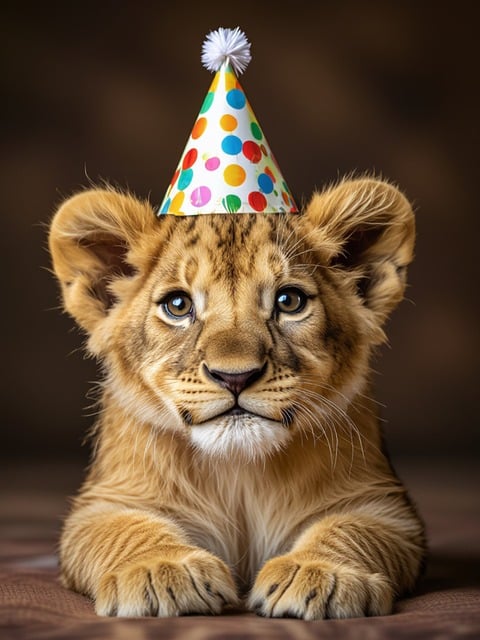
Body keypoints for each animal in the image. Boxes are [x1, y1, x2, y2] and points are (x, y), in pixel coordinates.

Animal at [48, 176, 425, 619]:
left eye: (289, 301)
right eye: (178, 305)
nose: (235, 377)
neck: (238, 471)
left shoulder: (382, 505)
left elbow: (350, 529)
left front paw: (320, 573)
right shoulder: (102, 502)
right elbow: (125, 529)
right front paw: (160, 570)